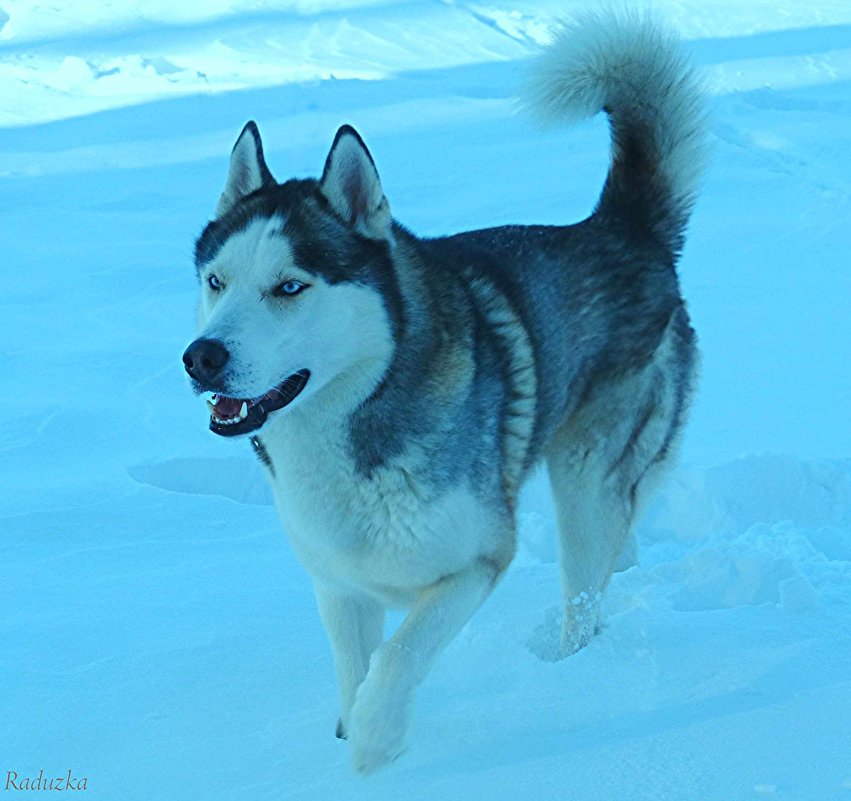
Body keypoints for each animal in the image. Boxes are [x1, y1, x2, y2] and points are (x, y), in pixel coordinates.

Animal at [185, 12, 704, 772]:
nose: (200, 358)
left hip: (586, 480)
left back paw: (571, 673)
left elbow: (397, 660)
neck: (354, 423)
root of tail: (621, 229)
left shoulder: (478, 561)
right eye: (216, 282)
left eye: (289, 287)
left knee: (585, 593)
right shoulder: (339, 584)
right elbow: (356, 668)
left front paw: (376, 745)